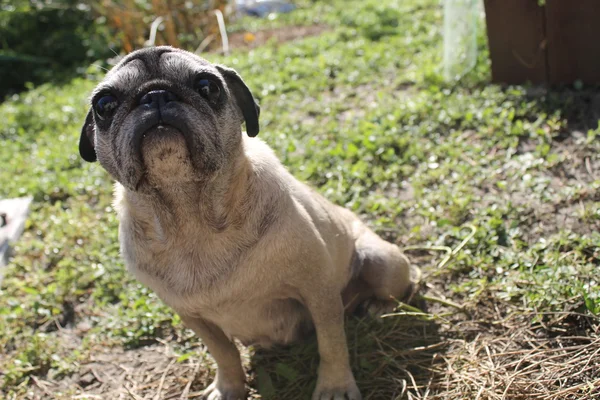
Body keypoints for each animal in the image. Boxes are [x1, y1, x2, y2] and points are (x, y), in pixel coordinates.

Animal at [77, 45, 420, 398]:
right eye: (104, 104)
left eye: (209, 86)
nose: (155, 94)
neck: (191, 219)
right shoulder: (195, 319)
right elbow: (224, 354)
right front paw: (229, 387)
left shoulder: (319, 292)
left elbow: (331, 344)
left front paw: (335, 386)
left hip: (381, 261)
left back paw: (378, 307)